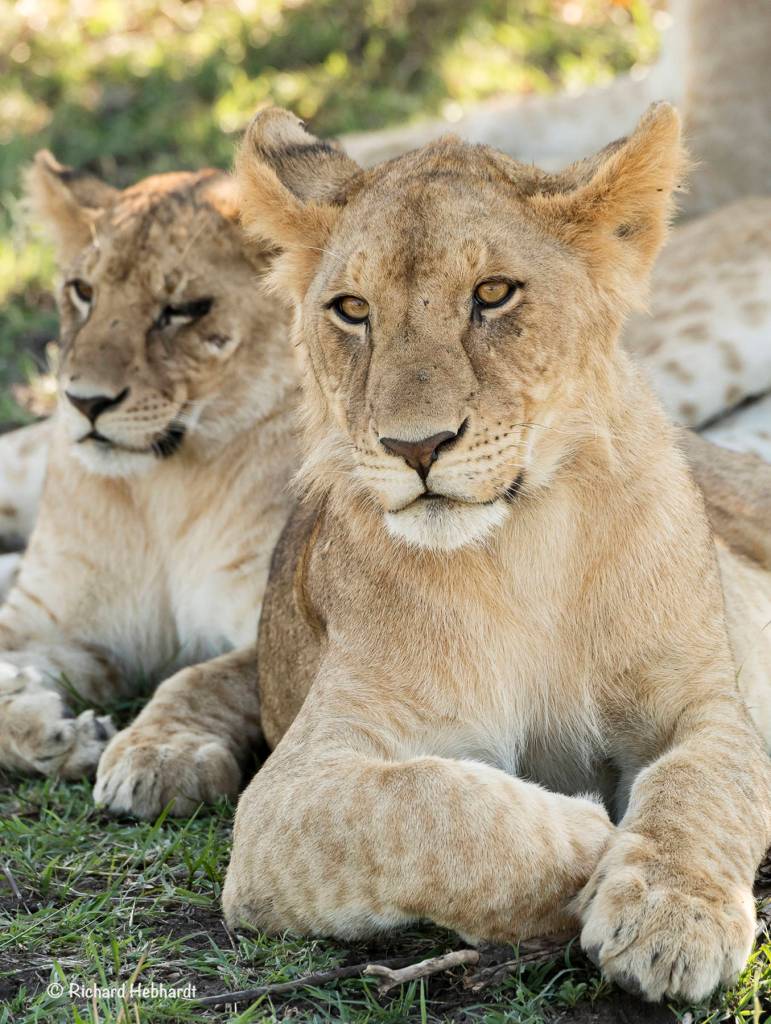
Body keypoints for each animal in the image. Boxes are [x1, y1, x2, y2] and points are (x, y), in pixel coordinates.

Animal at [0, 153, 299, 818]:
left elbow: (202, 677)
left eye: (184, 309)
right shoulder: (50, 622)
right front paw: (55, 732)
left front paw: (160, 754)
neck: (160, 491)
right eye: (83, 292)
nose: (85, 402)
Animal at [222, 105, 771, 1004]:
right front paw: (589, 841)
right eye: (350, 308)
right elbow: (428, 806)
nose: (415, 446)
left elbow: (704, 788)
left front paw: (669, 916)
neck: (522, 547)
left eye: (492, 294)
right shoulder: (286, 795)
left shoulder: (707, 704)